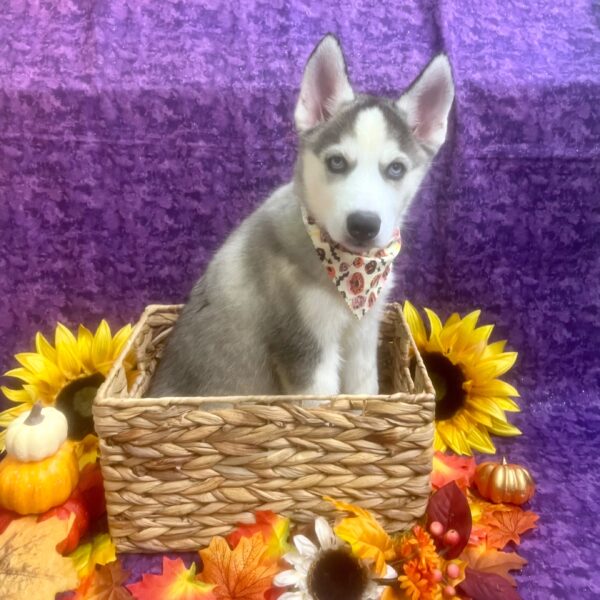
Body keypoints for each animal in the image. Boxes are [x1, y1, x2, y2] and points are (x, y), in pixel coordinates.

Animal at [148, 32, 452, 398]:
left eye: (396, 168)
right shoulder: (307, 352)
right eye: (336, 162)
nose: (363, 225)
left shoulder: (363, 338)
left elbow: (365, 391)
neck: (349, 273)